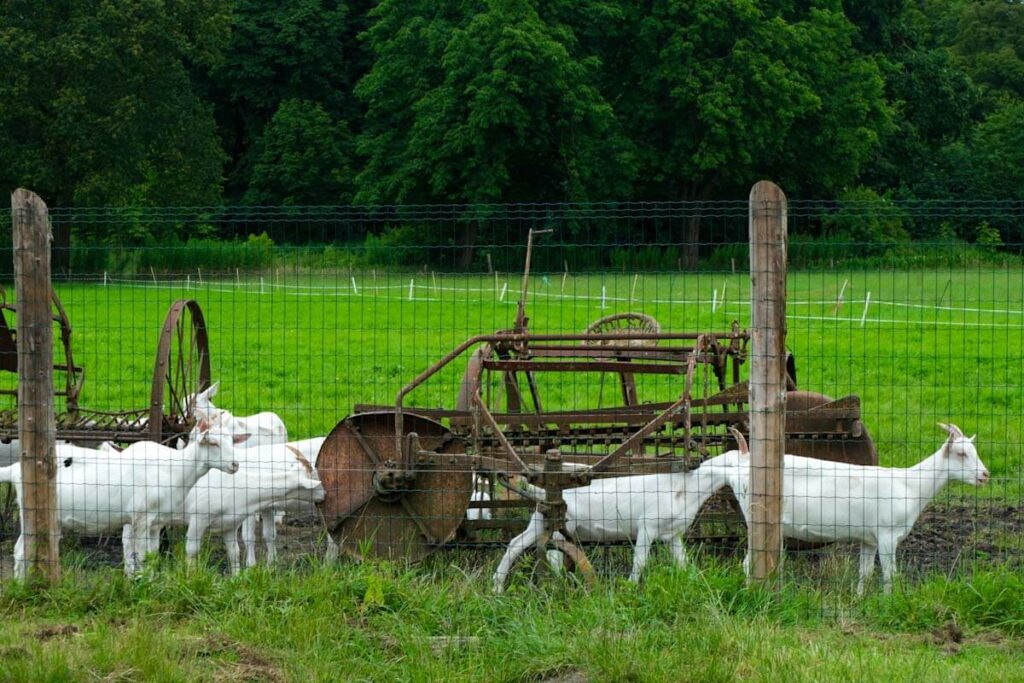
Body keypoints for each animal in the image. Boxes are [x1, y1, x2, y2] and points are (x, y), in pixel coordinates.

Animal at [726, 423, 989, 594]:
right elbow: (890, 575)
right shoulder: (887, 536)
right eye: (961, 453)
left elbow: (866, 573)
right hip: (757, 520)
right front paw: (889, 603)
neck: (910, 485)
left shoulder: (869, 540)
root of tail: (744, 462)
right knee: (749, 563)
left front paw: (860, 599)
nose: (985, 475)